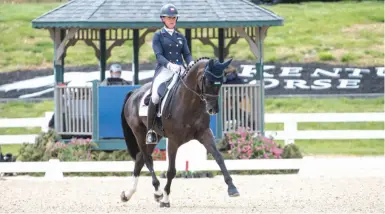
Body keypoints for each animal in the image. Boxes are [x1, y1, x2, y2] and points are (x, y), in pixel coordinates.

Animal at [121, 56, 238, 207]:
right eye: (208, 81)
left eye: (222, 82)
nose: (213, 109)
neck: (190, 102)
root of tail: (134, 93)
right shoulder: (173, 140)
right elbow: (171, 171)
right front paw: (165, 199)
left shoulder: (204, 133)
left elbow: (219, 158)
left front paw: (232, 188)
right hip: (139, 133)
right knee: (147, 159)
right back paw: (158, 192)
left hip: (154, 136)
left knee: (140, 158)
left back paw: (128, 194)